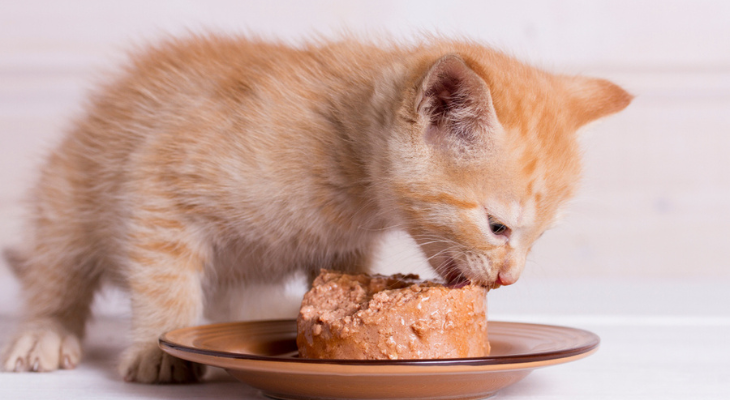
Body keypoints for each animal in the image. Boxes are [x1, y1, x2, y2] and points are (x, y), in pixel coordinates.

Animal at [0, 34, 628, 382]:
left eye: (538, 237)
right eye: (497, 226)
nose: (509, 278)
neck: (352, 169)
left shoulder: (344, 244)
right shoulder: (159, 176)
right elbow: (163, 278)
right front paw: (161, 347)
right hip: (69, 193)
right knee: (57, 271)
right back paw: (44, 333)